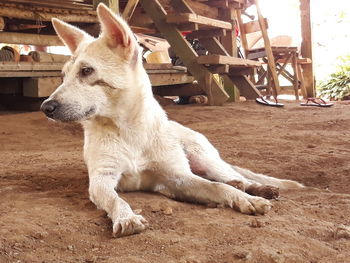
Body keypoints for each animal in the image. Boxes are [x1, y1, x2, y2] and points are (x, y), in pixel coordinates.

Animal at [41, 3, 304, 239]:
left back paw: (258, 188)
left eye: (86, 71)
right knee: (231, 178)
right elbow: (117, 200)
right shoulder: (101, 181)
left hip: (203, 158)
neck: (129, 131)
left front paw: (246, 199)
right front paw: (126, 217)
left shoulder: (178, 177)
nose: (46, 107)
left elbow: (218, 187)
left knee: (232, 176)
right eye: (63, 75)